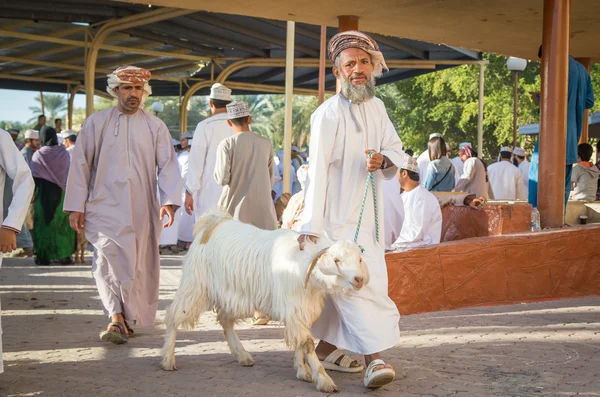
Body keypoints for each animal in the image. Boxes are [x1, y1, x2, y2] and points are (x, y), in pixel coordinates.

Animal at [159, 209, 368, 392]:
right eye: (336, 260)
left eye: (359, 259)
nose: (359, 279)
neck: (302, 263)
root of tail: (212, 223)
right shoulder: (293, 307)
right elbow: (307, 343)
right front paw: (324, 380)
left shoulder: (298, 310)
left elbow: (299, 340)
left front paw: (302, 371)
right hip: (195, 285)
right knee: (173, 315)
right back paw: (168, 359)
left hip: (233, 295)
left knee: (225, 320)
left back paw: (242, 355)